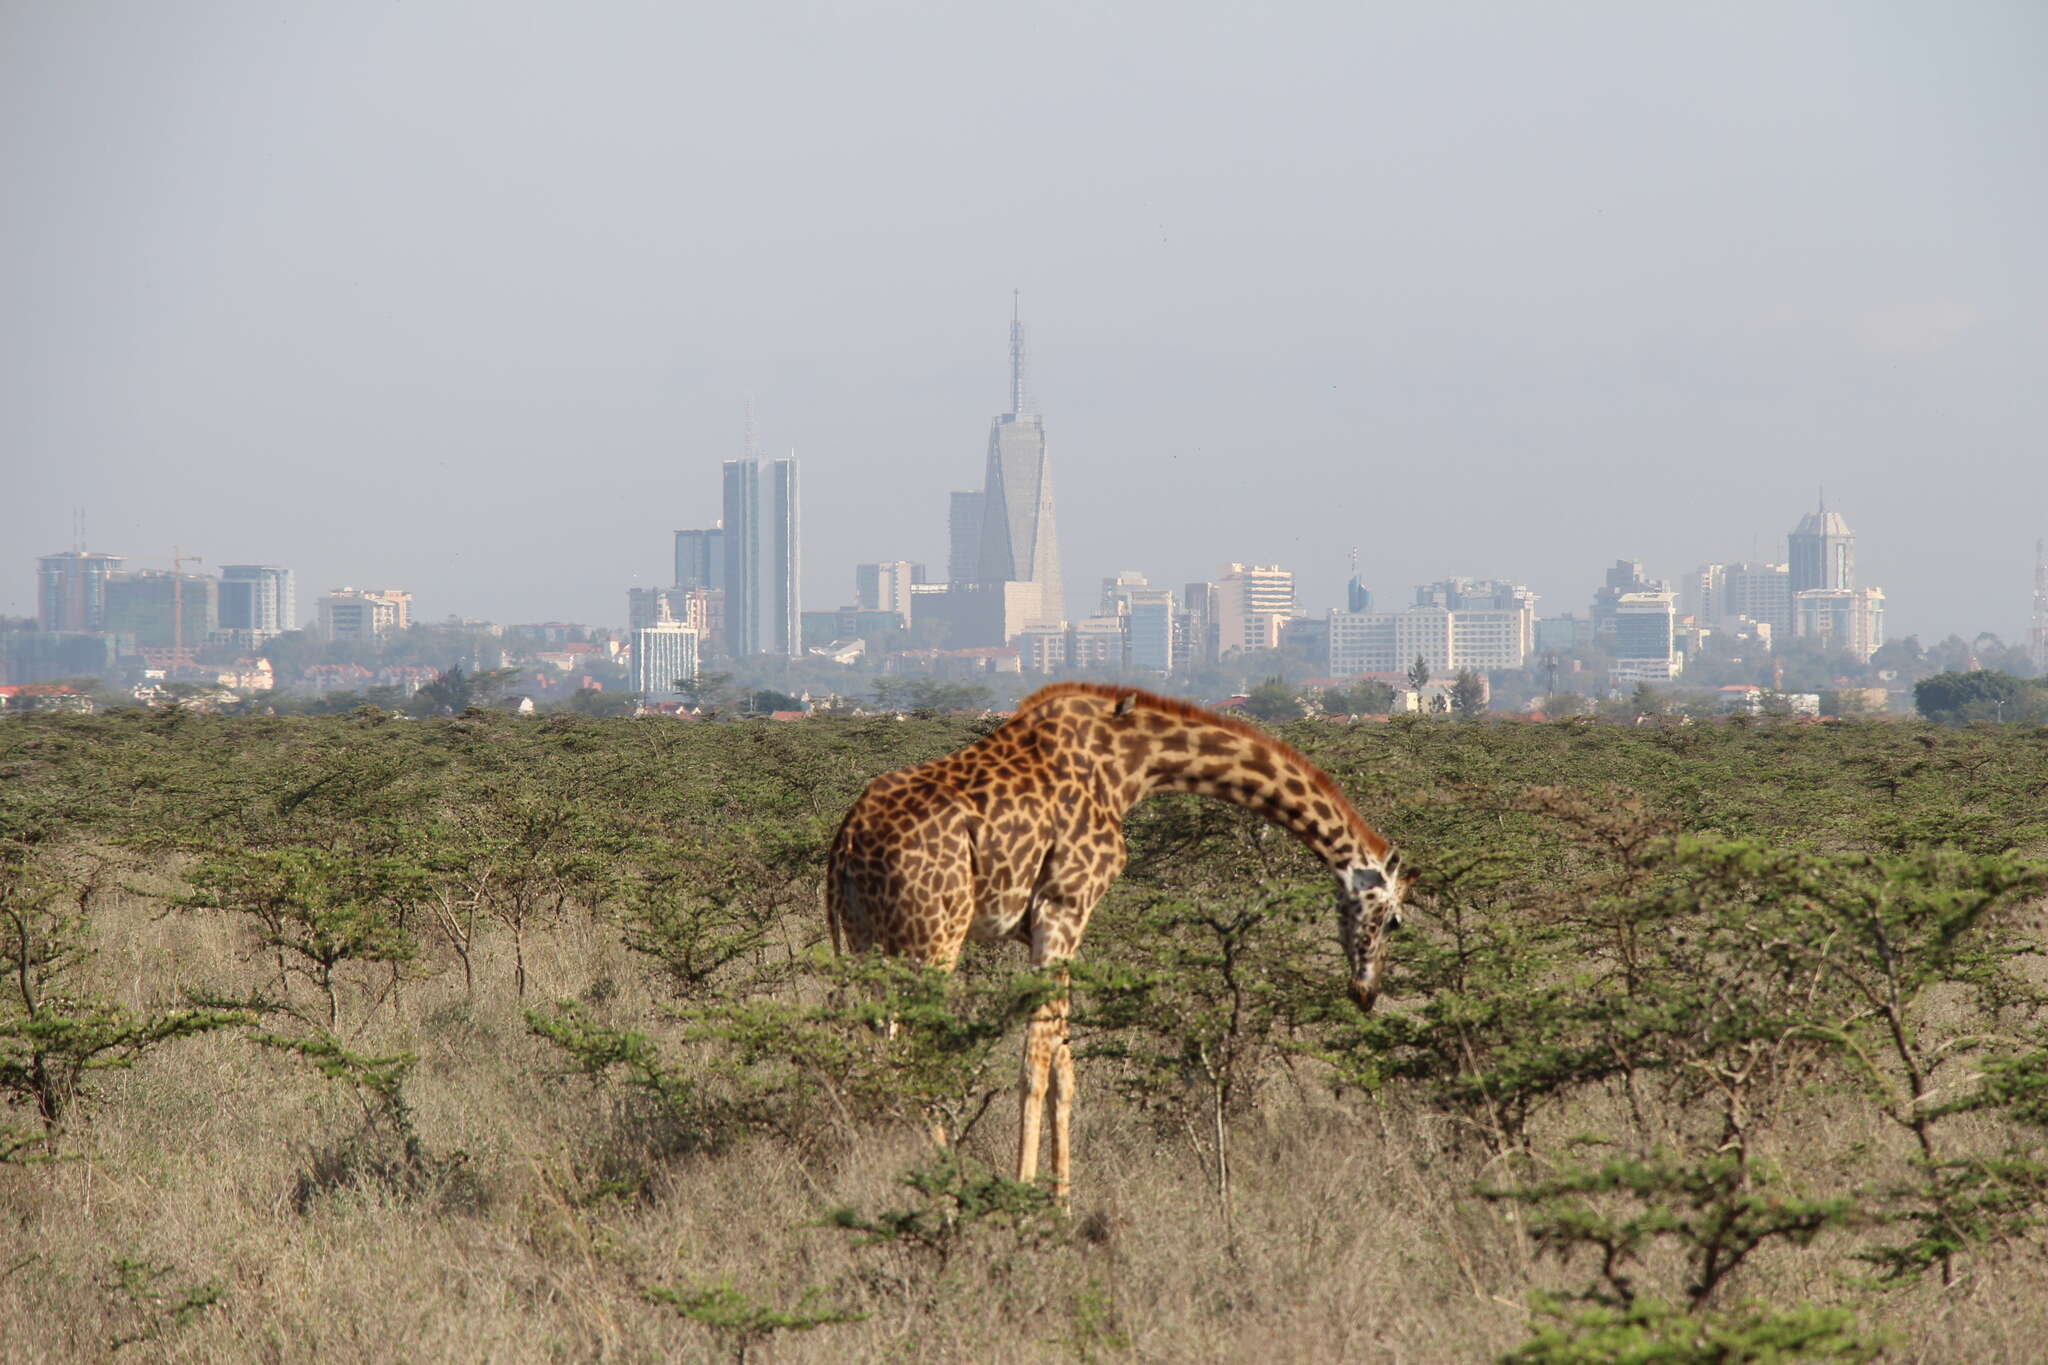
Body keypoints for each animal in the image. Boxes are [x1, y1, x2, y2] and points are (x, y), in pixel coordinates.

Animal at [827, 679, 1409, 1195]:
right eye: (1395, 921)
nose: (1366, 991)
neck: (1133, 763)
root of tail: (849, 837)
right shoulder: (1064, 906)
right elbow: (1036, 1061)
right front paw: (1026, 1199)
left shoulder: (1041, 925)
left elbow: (1064, 1064)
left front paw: (1062, 1201)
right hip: (934, 938)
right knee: (915, 1056)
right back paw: (945, 1185)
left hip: (867, 944)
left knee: (876, 1055)